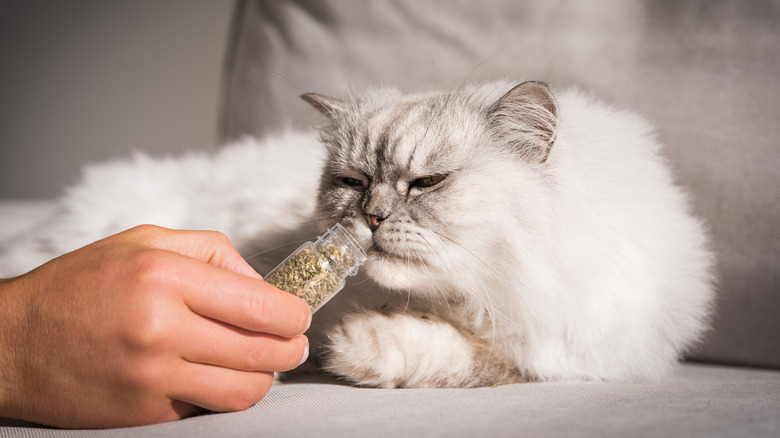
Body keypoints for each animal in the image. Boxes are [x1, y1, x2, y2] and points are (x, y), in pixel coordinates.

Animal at [0, 79, 712, 386]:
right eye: (352, 181)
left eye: (426, 183)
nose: (369, 217)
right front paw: (340, 350)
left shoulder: (565, 349)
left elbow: (469, 360)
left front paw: (355, 352)